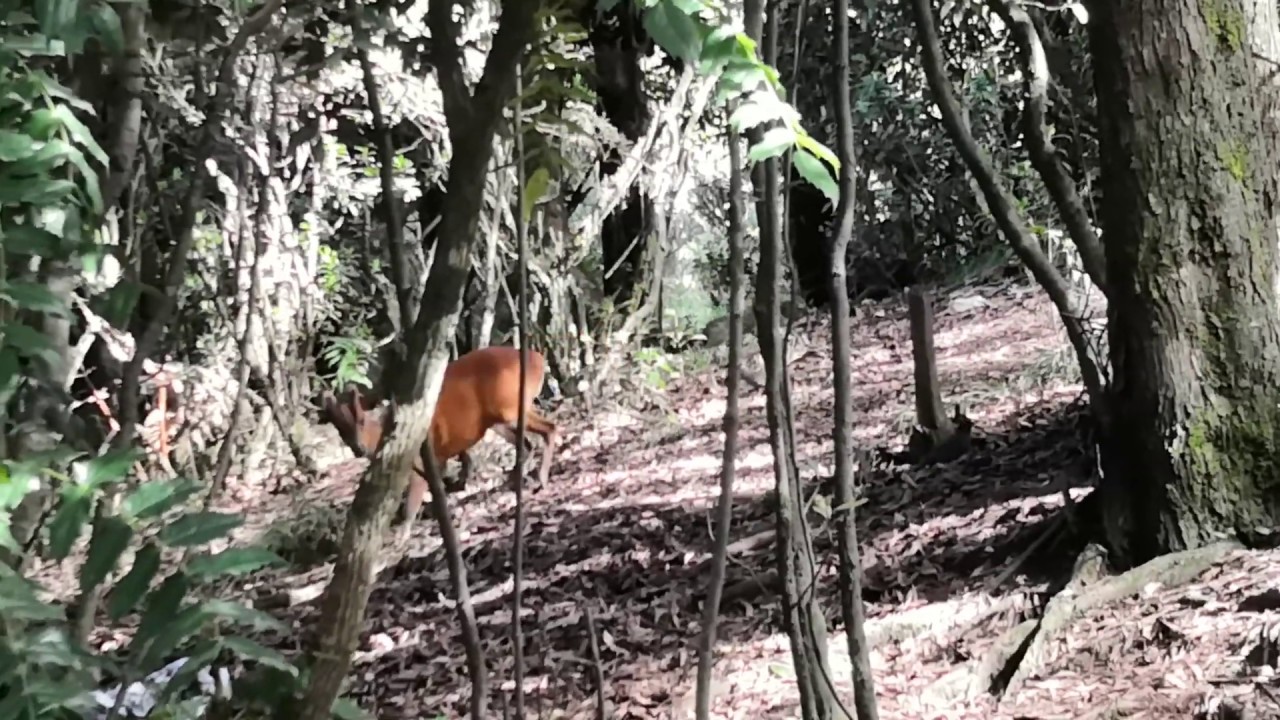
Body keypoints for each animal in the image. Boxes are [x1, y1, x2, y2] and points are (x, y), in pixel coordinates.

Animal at [320, 345, 558, 522]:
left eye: (362, 421)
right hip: (498, 419)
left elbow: (412, 504)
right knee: (527, 443)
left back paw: (541, 479)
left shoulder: (424, 457)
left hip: (510, 407)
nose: (359, 448)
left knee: (550, 428)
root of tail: (539, 360)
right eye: (340, 429)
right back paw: (518, 480)